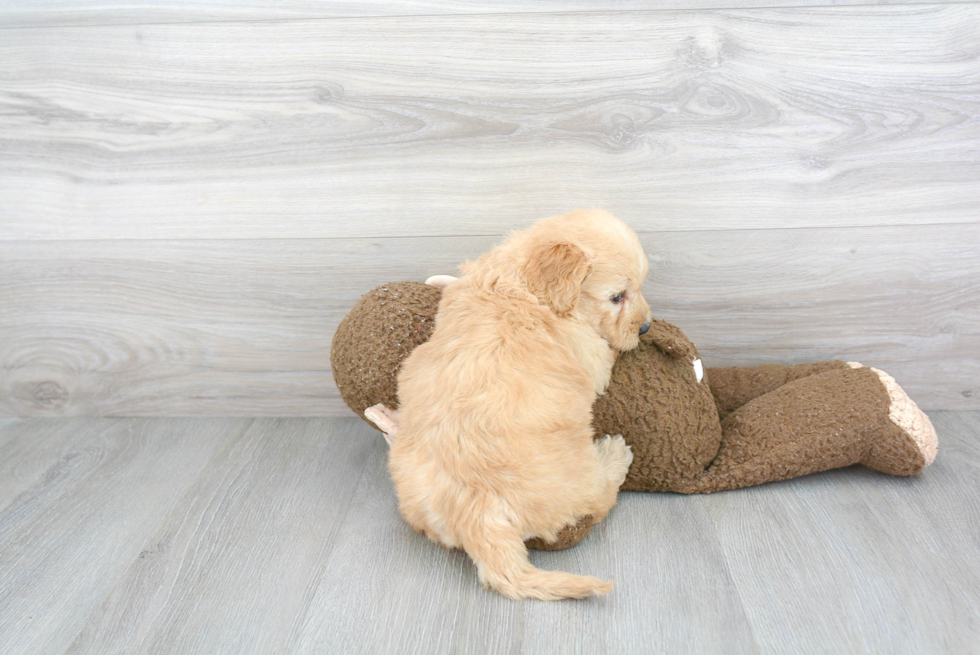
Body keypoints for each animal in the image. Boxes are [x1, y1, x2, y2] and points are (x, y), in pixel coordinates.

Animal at [384, 209, 652, 600]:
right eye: (617, 296)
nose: (646, 327)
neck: (521, 287)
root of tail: (476, 514)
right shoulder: (592, 354)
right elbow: (608, 351)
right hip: (579, 479)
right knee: (599, 499)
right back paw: (616, 456)